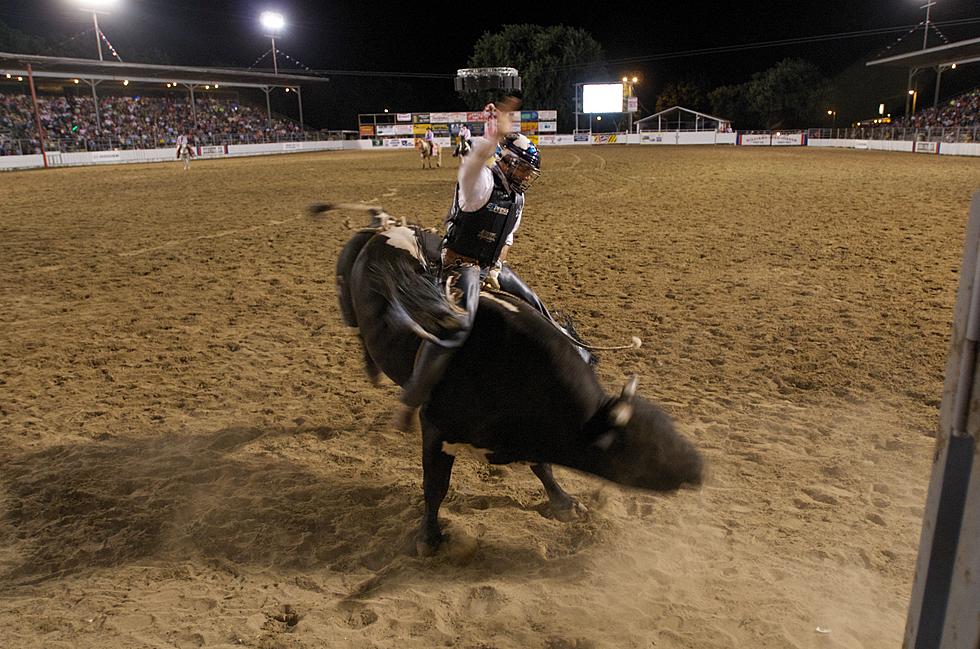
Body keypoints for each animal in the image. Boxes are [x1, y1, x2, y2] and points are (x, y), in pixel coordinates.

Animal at [314, 204, 704, 556]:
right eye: (644, 452)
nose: (699, 467)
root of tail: (385, 226)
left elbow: (542, 466)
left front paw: (564, 503)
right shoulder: (436, 427)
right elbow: (435, 484)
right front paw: (429, 537)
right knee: (356, 329)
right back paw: (373, 371)